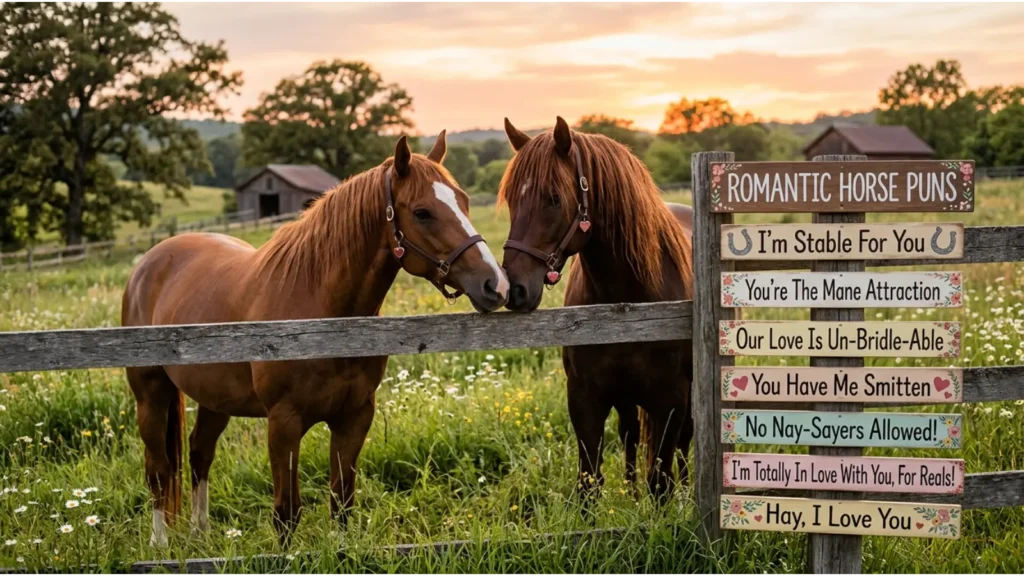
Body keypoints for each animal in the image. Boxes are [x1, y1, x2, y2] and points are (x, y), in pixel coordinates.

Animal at [121, 133, 509, 546]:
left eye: (464, 201)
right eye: (422, 212)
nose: (495, 284)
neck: (321, 317)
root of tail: (149, 263)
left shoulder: (354, 417)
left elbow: (341, 501)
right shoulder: (284, 423)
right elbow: (287, 512)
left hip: (215, 399)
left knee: (199, 453)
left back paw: (201, 533)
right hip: (150, 395)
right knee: (158, 467)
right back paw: (160, 543)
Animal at [498, 116, 695, 504]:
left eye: (554, 199)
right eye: (512, 198)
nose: (515, 288)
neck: (627, 305)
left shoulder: (672, 400)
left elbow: (660, 481)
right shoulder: (585, 396)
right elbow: (589, 483)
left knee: (684, 441)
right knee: (630, 433)